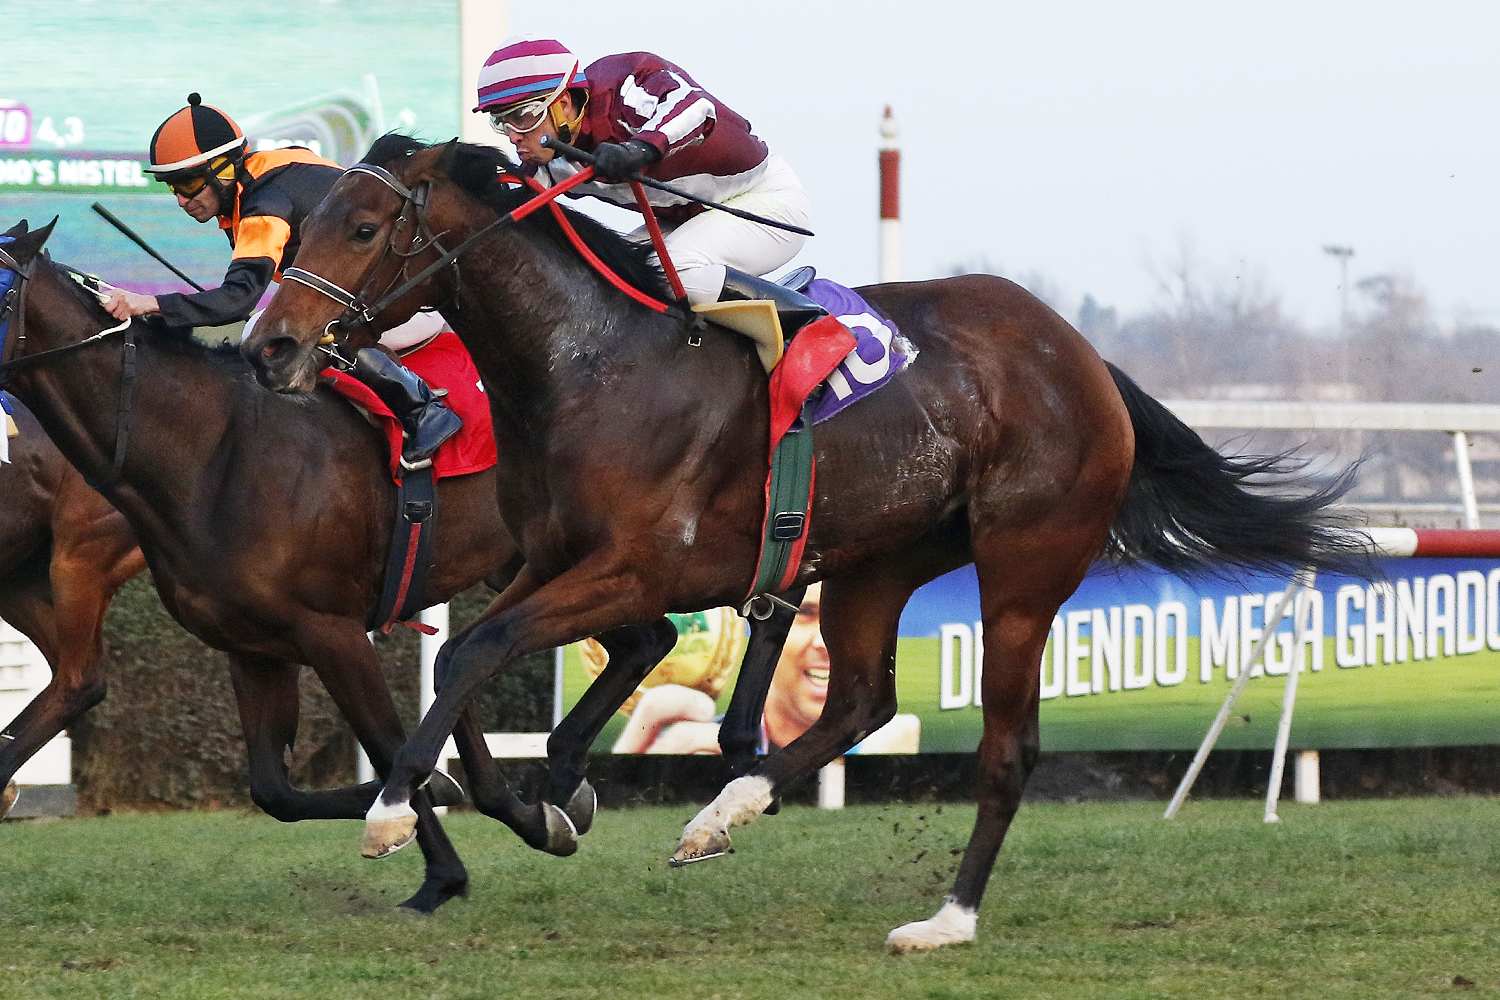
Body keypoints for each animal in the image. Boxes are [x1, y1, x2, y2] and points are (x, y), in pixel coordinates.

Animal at [241, 137, 1366, 949]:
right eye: (303, 224)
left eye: (364, 224)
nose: (269, 347)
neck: (589, 364)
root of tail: (1079, 355)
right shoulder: (562, 558)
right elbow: (513, 665)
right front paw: (541, 797)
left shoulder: (642, 564)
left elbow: (484, 646)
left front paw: (396, 811)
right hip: (881, 558)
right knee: (864, 699)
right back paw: (724, 810)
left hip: (1024, 566)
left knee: (1007, 748)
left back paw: (945, 921)